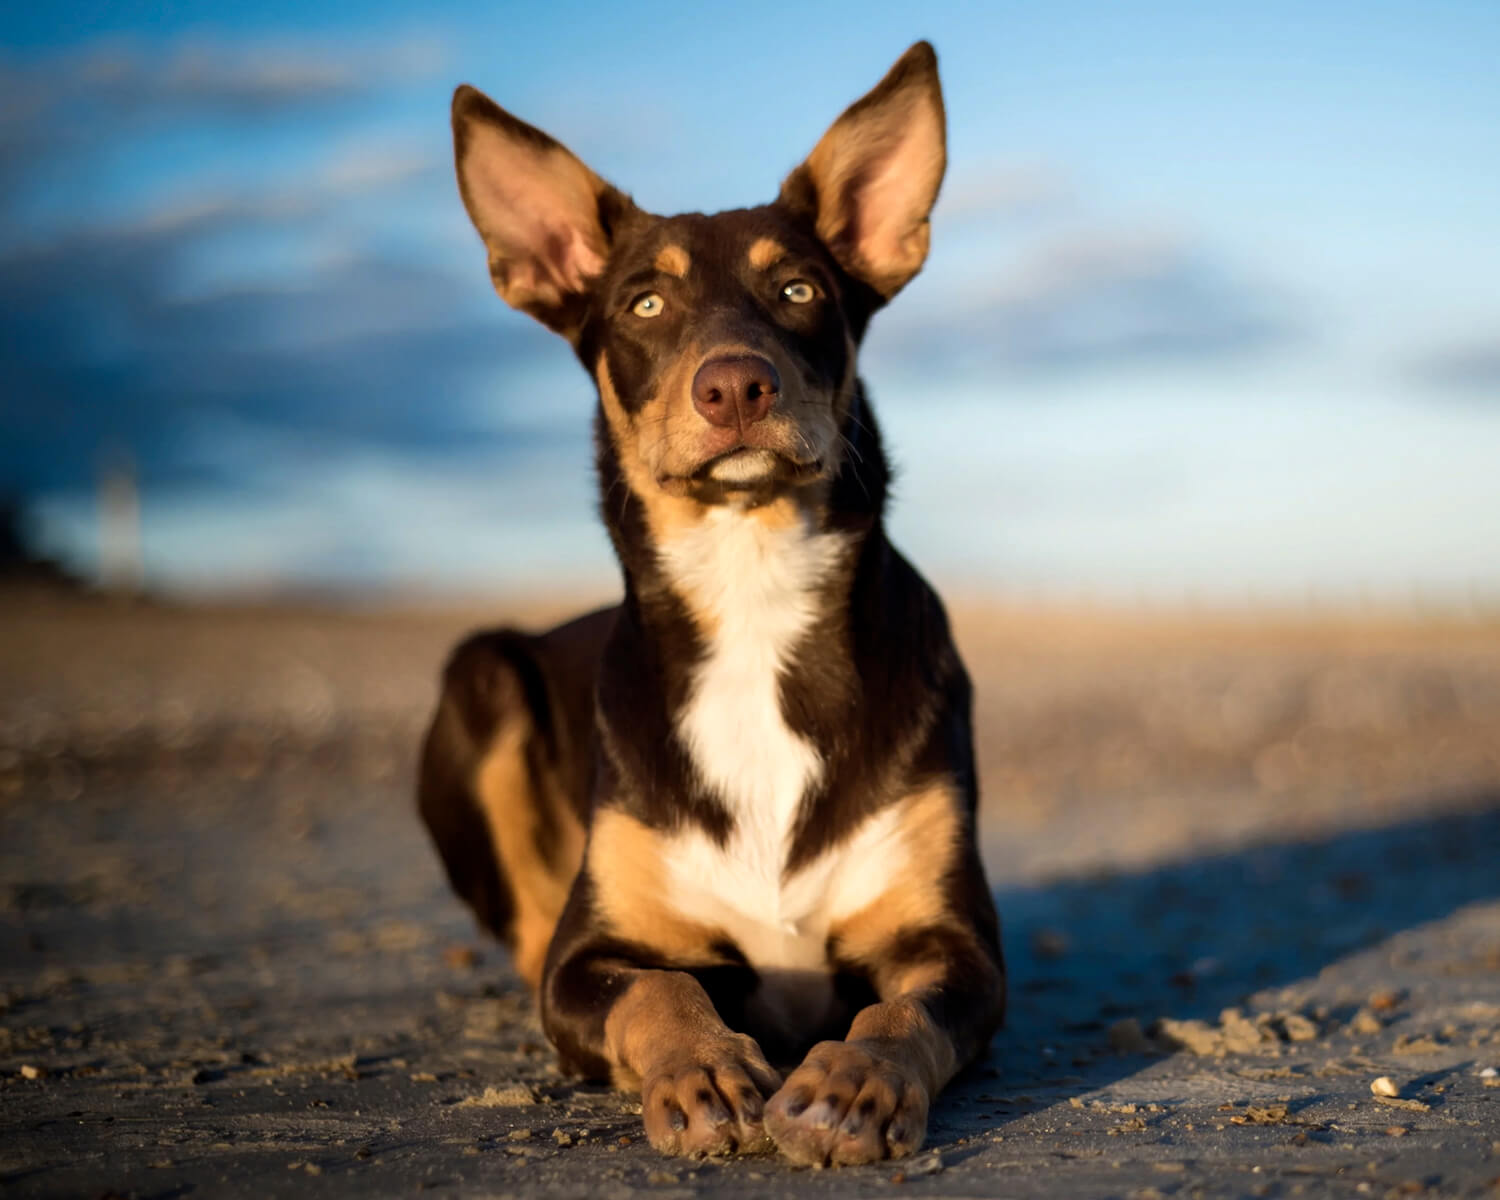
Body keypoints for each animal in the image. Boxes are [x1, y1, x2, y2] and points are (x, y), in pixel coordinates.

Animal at [420, 39, 1008, 1164]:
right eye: (645, 304)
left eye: (799, 289)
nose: (735, 386)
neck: (751, 591)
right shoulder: (591, 957)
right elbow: (656, 990)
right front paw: (701, 1071)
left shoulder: (955, 946)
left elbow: (895, 1010)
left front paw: (850, 1085)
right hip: (482, 673)